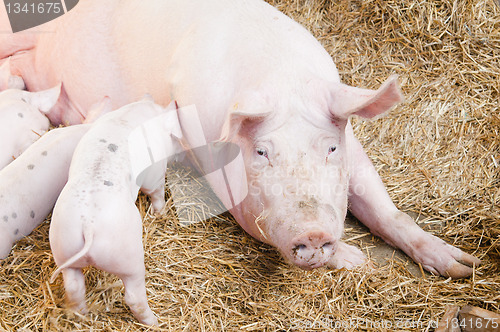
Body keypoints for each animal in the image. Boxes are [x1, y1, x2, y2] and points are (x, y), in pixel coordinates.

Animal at [0, 0, 480, 278]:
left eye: (330, 147)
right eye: (262, 151)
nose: (313, 232)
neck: (281, 78)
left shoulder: (353, 145)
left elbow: (383, 207)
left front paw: (462, 266)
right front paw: (358, 260)